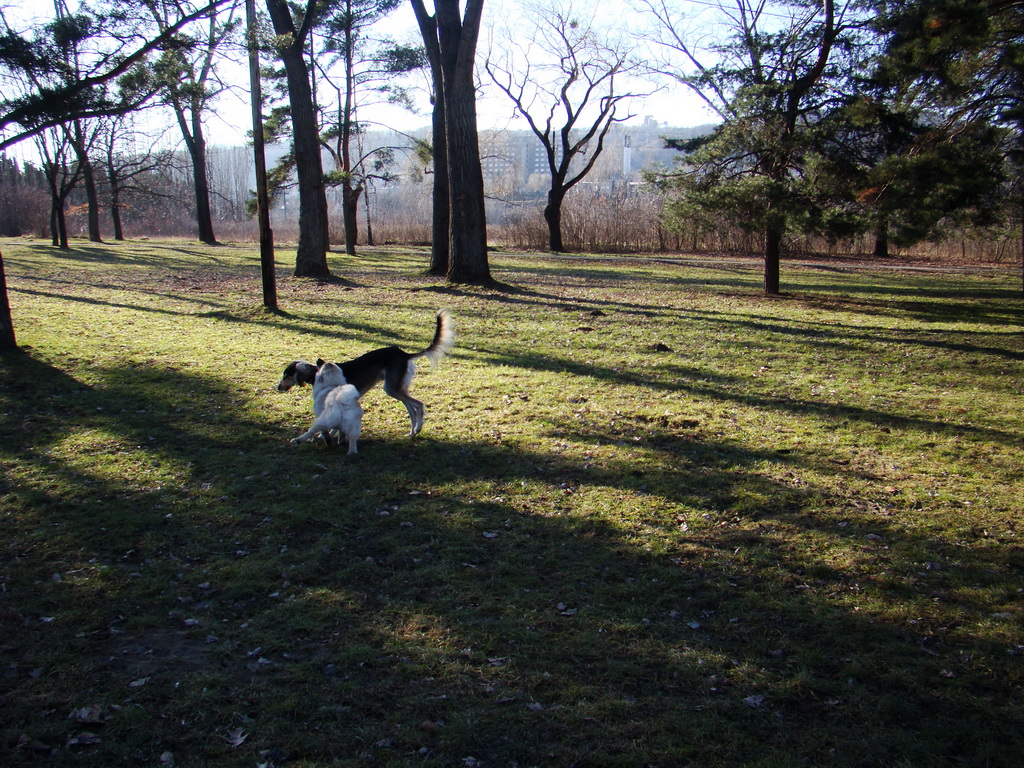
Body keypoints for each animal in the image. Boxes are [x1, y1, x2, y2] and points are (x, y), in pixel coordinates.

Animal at [280, 309, 456, 438]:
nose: (278, 387)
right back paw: (412, 432)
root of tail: (403, 353)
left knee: (418, 404)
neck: (321, 372)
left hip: (392, 388)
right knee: (411, 409)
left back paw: (417, 428)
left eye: (286, 375)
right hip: (396, 388)